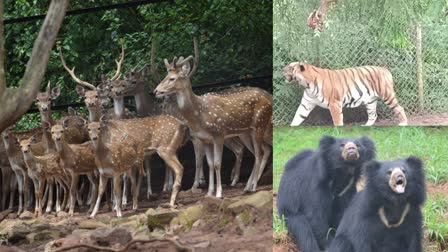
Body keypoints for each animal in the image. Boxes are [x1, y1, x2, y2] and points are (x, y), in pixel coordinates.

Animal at [154, 38, 272, 198]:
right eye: (165, 77)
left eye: (172, 78)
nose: (156, 91)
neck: (198, 115)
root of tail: (269, 98)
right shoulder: (205, 139)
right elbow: (209, 164)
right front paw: (209, 192)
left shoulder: (218, 133)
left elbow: (217, 164)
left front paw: (219, 193)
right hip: (247, 132)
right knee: (257, 153)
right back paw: (247, 186)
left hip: (259, 124)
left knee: (260, 153)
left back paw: (253, 187)